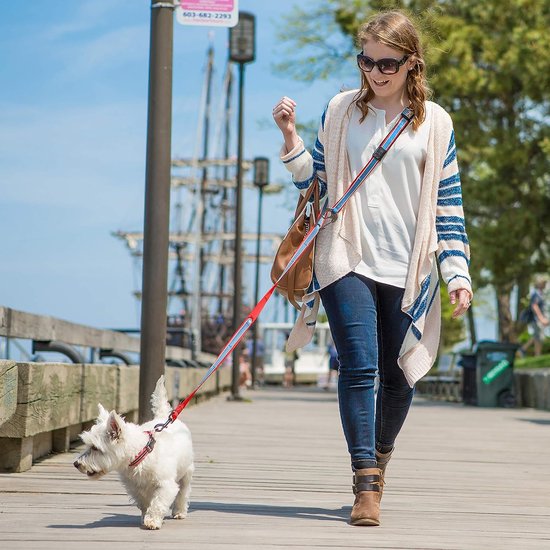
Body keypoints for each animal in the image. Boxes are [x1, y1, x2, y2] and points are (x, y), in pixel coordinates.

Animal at [73, 376, 194, 532]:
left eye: (95, 448)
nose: (76, 464)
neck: (140, 454)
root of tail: (163, 417)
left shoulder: (165, 484)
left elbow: (158, 502)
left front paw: (152, 521)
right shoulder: (135, 487)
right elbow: (144, 502)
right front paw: (145, 517)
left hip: (186, 471)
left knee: (183, 491)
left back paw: (179, 511)